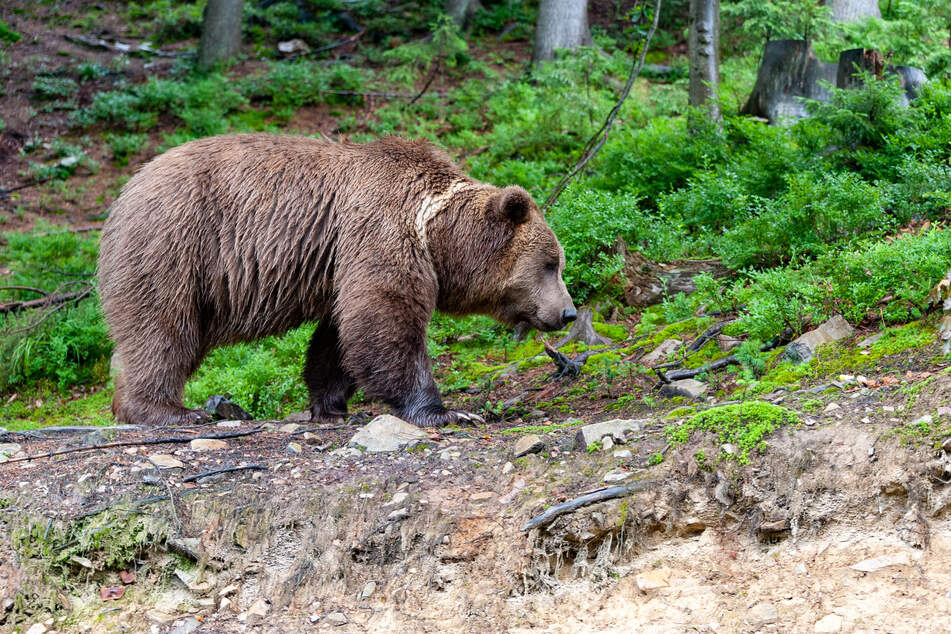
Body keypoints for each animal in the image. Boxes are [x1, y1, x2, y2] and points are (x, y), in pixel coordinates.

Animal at [98, 134, 576, 428]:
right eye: (551, 263)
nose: (568, 312)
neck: (435, 233)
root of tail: (125, 192)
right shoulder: (381, 232)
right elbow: (386, 319)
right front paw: (441, 411)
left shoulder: (339, 265)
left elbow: (339, 339)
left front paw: (332, 405)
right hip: (177, 245)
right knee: (162, 328)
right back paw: (171, 410)